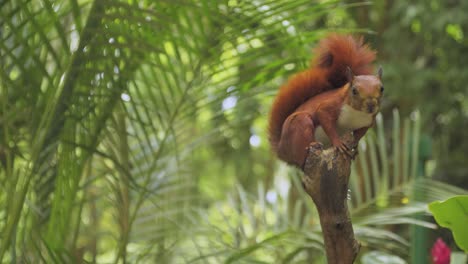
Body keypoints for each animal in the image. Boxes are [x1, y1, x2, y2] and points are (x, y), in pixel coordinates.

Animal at [268, 34, 382, 168]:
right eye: (354, 90)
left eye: (382, 88)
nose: (371, 104)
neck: (357, 113)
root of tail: (281, 149)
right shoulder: (333, 105)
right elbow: (323, 115)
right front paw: (338, 143)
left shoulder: (368, 122)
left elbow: (358, 136)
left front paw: (354, 147)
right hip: (299, 125)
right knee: (301, 159)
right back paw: (311, 147)